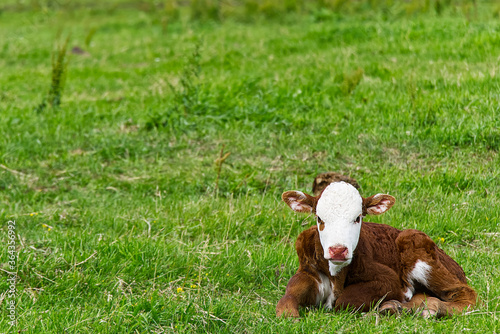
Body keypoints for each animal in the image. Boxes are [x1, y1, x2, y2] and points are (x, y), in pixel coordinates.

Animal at [278, 183, 476, 318]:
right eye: (319, 218)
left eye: (358, 218)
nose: (338, 250)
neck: (336, 276)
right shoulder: (308, 268)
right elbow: (291, 291)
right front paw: (287, 314)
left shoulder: (388, 279)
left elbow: (345, 301)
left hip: (417, 245)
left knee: (466, 295)